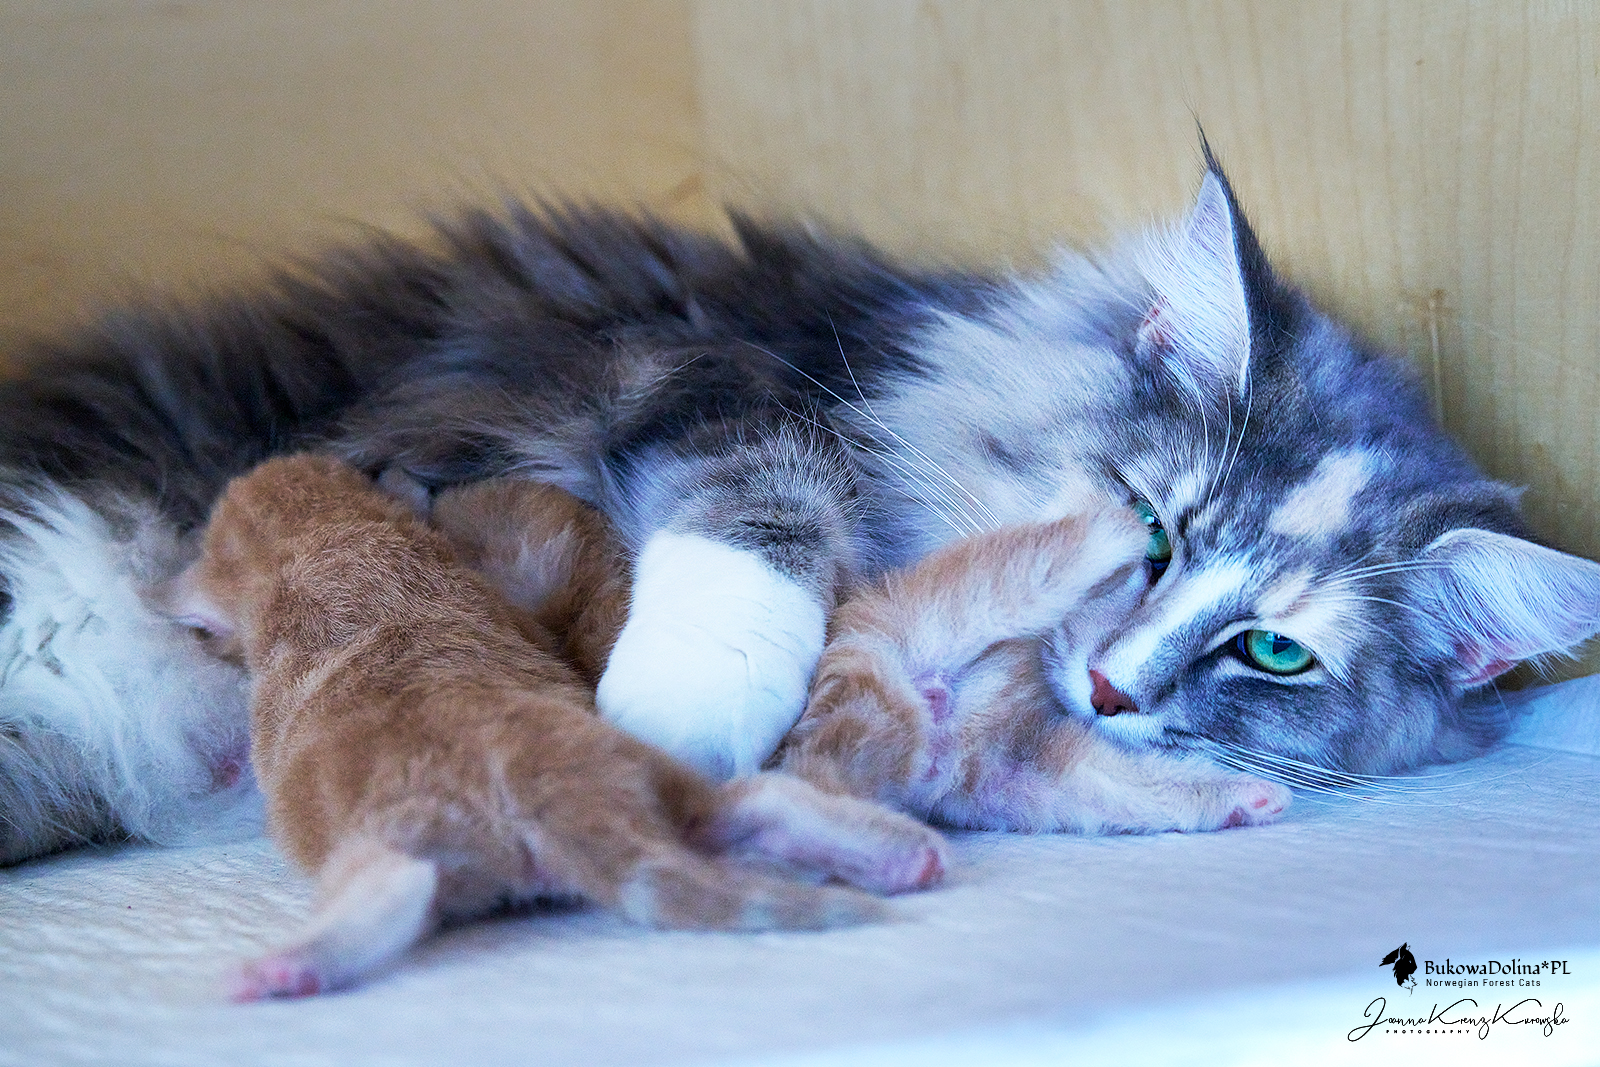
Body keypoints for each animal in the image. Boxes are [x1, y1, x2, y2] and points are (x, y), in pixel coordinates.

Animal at [4, 143, 1600, 863]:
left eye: (1273, 650)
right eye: (1151, 529)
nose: (1110, 681)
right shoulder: (695, 366)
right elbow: (766, 510)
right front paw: (673, 718)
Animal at [162, 454, 945, 999]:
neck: (329, 541)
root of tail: (559, 795)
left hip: (396, 837)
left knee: (393, 888)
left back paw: (282, 968)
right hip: (659, 775)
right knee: (755, 800)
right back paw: (902, 858)